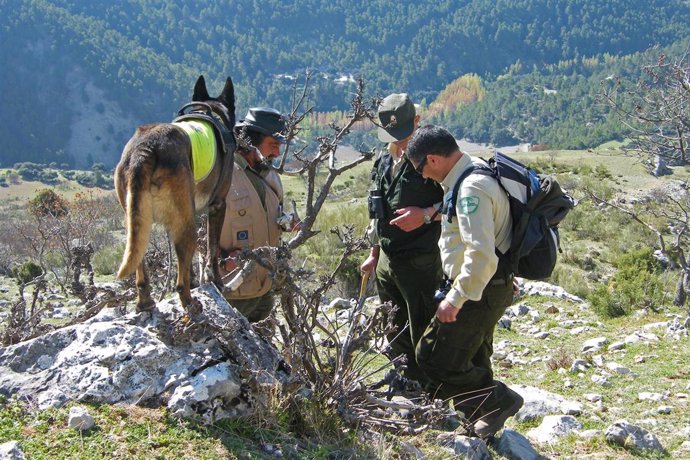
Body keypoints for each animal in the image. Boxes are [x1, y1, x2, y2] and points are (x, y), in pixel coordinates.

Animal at [115, 76, 236, 312]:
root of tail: (145, 148)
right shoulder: (218, 205)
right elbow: (213, 249)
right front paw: (215, 281)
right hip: (187, 225)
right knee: (180, 283)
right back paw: (190, 302)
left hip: (137, 220)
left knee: (140, 267)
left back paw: (145, 302)